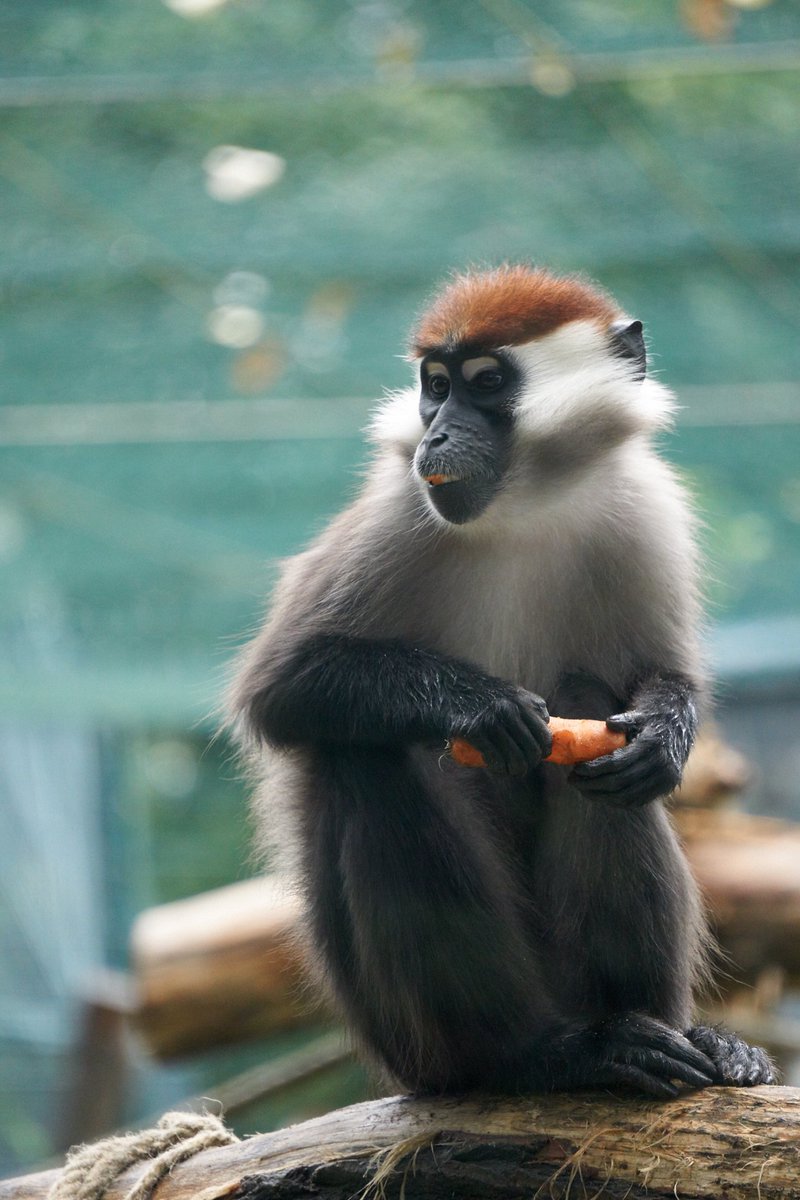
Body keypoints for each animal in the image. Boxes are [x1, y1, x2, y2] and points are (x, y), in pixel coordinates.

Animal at [229, 265, 775, 1098]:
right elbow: (279, 691)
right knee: (370, 752)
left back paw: (664, 1038)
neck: (525, 503)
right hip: (404, 1040)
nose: (437, 434)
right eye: (434, 386)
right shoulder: (397, 512)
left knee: (589, 715)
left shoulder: (644, 507)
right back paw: (542, 1054)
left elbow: (658, 681)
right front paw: (478, 706)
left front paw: (667, 730)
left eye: (485, 383)